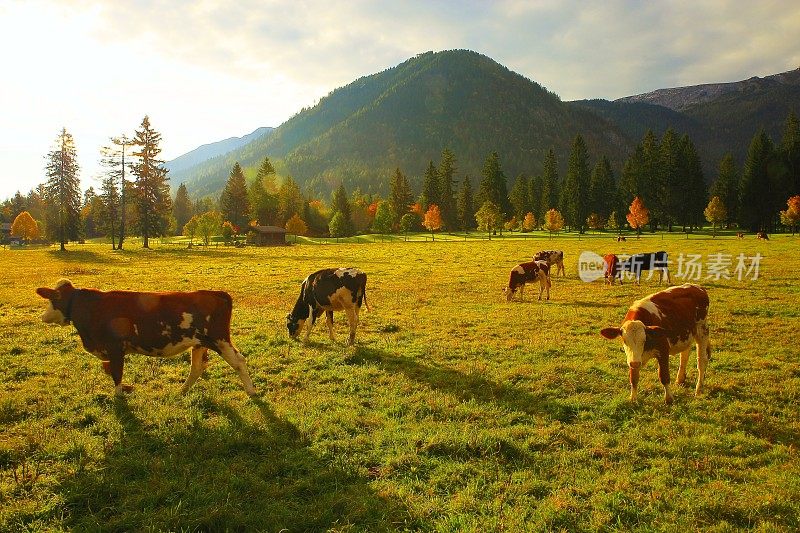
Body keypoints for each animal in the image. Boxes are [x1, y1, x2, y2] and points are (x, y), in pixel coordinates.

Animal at [36, 278, 256, 394]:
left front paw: (119, 397)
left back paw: (251, 391)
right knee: (196, 368)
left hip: (220, 339)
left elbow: (117, 374)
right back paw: (182, 391)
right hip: (199, 342)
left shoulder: (115, 348)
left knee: (239, 361)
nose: (43, 316)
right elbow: (110, 370)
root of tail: (216, 293)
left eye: (52, 300)